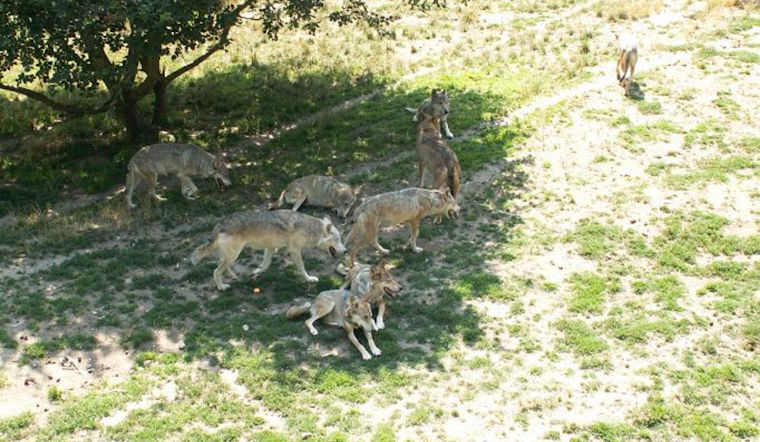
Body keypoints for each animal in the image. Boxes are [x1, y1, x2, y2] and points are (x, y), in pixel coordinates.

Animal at [190, 210, 346, 291]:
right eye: (338, 240)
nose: (345, 250)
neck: (310, 228)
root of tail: (219, 224)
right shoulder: (295, 250)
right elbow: (302, 268)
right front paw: (309, 279)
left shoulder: (271, 247)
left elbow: (265, 264)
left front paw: (255, 272)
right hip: (233, 255)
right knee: (216, 271)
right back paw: (222, 287)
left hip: (231, 256)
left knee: (223, 267)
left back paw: (237, 278)